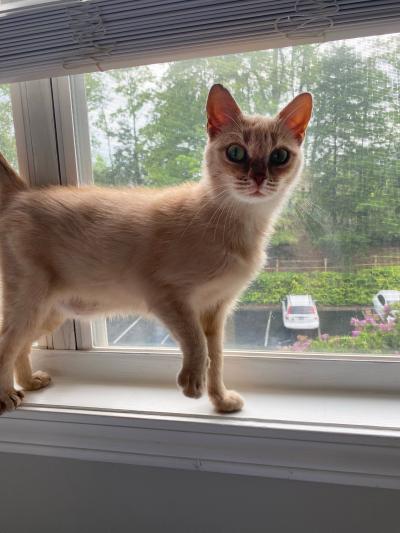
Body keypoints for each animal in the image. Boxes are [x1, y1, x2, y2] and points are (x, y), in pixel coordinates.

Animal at [0, 84, 312, 416]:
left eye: (279, 156)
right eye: (236, 152)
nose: (258, 178)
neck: (241, 224)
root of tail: (23, 194)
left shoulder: (216, 309)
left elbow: (217, 358)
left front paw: (220, 400)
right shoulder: (168, 296)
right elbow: (197, 345)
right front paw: (192, 382)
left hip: (50, 312)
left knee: (21, 346)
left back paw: (29, 382)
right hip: (29, 301)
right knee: (6, 344)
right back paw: (6, 395)